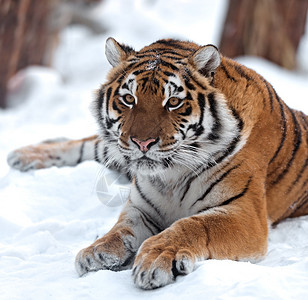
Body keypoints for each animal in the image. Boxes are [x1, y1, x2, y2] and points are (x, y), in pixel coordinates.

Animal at [7, 37, 308, 288]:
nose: (142, 143)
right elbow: (121, 229)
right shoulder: (141, 207)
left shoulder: (244, 214)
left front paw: (156, 259)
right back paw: (24, 154)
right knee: (87, 143)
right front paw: (97, 251)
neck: (172, 176)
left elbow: (192, 225)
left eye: (173, 102)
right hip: (115, 147)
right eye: (129, 99)